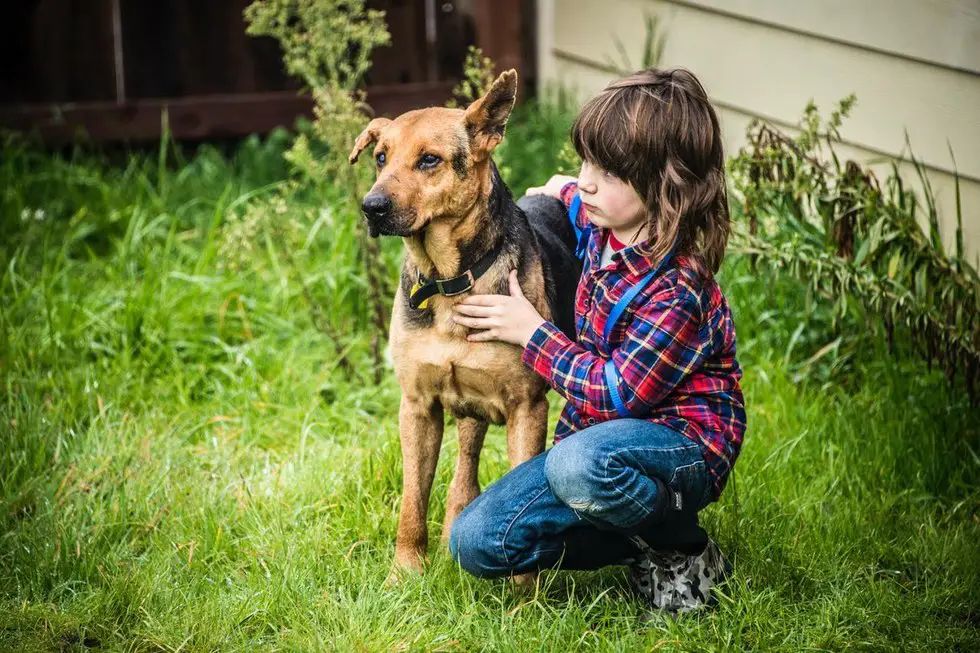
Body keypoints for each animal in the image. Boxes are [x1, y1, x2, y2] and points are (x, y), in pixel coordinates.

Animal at [348, 69, 580, 580]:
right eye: (380, 157)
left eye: (429, 160)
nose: (370, 207)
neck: (448, 279)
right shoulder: (417, 407)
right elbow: (412, 502)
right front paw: (405, 573)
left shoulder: (526, 408)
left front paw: (524, 593)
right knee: (465, 466)